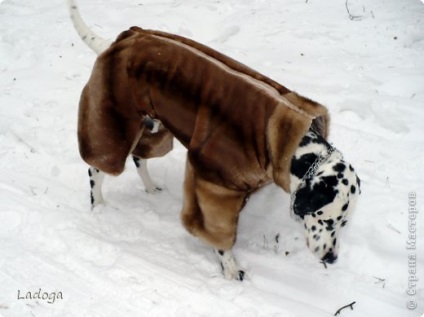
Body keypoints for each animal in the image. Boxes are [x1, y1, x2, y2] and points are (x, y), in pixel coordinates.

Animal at [68, 0, 360, 278]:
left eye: (345, 223)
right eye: (328, 221)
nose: (332, 259)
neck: (293, 149)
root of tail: (121, 40)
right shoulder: (212, 182)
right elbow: (217, 233)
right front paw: (230, 266)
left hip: (154, 128)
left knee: (140, 157)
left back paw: (151, 189)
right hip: (114, 122)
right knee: (97, 168)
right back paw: (99, 205)